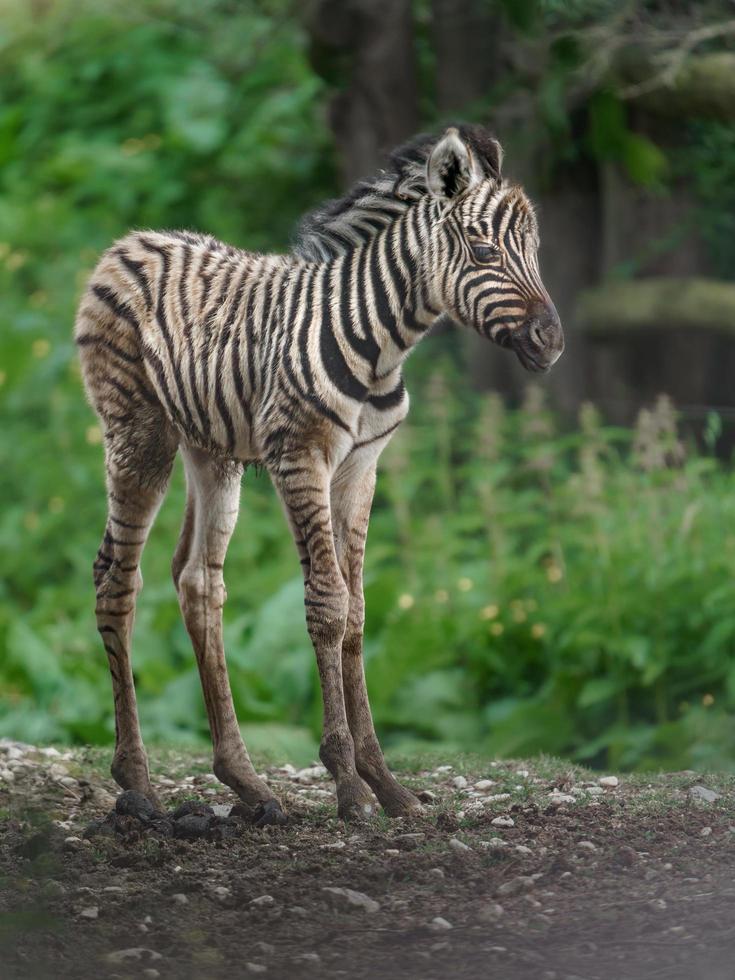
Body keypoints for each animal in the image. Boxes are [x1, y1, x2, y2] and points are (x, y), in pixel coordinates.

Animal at [76, 124, 564, 828]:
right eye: (481, 249)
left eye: (534, 250)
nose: (552, 342)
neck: (381, 342)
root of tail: (129, 242)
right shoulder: (301, 456)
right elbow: (327, 606)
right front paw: (349, 783)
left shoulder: (362, 467)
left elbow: (357, 611)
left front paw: (386, 783)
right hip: (138, 436)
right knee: (116, 577)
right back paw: (137, 783)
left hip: (212, 450)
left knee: (199, 582)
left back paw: (247, 784)